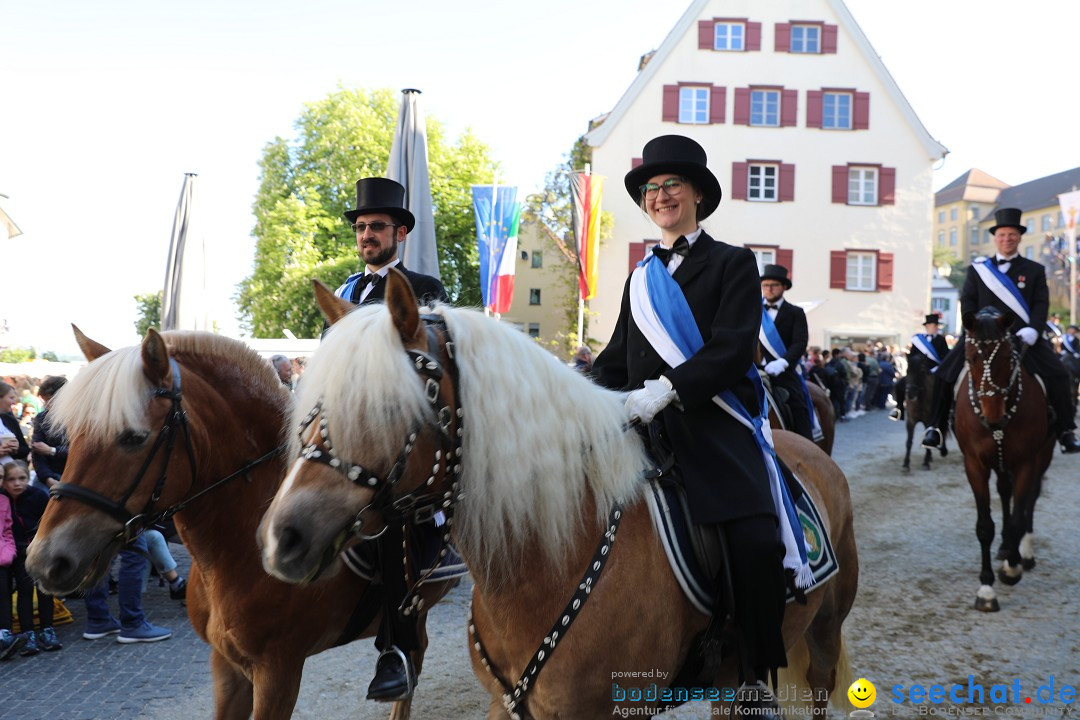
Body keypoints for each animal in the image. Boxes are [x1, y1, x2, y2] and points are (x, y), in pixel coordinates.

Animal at [24, 328, 455, 720]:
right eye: (72, 435)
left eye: (133, 437)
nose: (44, 561)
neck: (237, 554)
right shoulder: (226, 665)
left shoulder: (278, 672)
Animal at [257, 273, 855, 716]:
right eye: (313, 405)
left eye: (385, 405)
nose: (282, 538)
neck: (544, 559)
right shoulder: (509, 705)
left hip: (823, 638)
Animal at [954, 306, 1054, 613]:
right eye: (971, 358)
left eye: (1008, 358)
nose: (993, 416)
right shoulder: (974, 464)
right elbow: (985, 526)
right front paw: (986, 590)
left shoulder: (1026, 462)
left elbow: (1020, 516)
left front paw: (1011, 569)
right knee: (1005, 492)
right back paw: (1005, 548)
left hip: (1043, 455)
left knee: (1030, 500)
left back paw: (1022, 553)